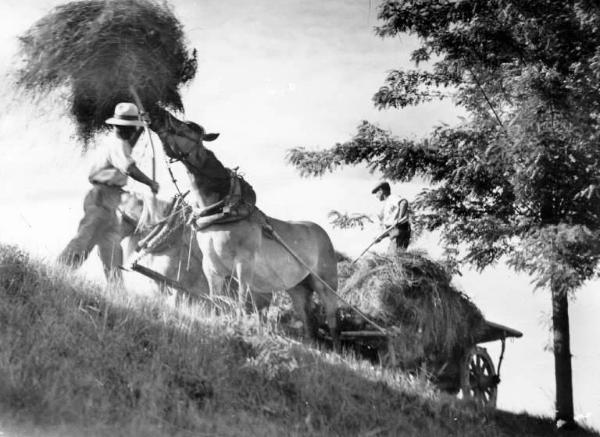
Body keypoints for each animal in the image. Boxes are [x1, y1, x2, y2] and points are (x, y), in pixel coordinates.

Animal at [148, 110, 340, 348]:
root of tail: (323, 234)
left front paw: (241, 329)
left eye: (190, 128)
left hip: (326, 283)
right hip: (297, 287)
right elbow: (215, 300)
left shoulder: (244, 263)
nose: (157, 114)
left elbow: (241, 300)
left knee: (332, 318)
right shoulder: (212, 267)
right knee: (307, 318)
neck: (223, 211)